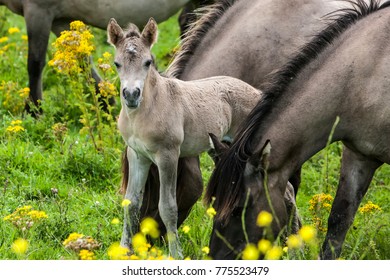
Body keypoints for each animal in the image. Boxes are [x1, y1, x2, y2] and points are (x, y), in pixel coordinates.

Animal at [0, 0, 201, 108]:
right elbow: (84, 64)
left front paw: (34, 110)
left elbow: (35, 65)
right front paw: (107, 104)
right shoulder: (61, 20)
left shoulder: (38, 11)